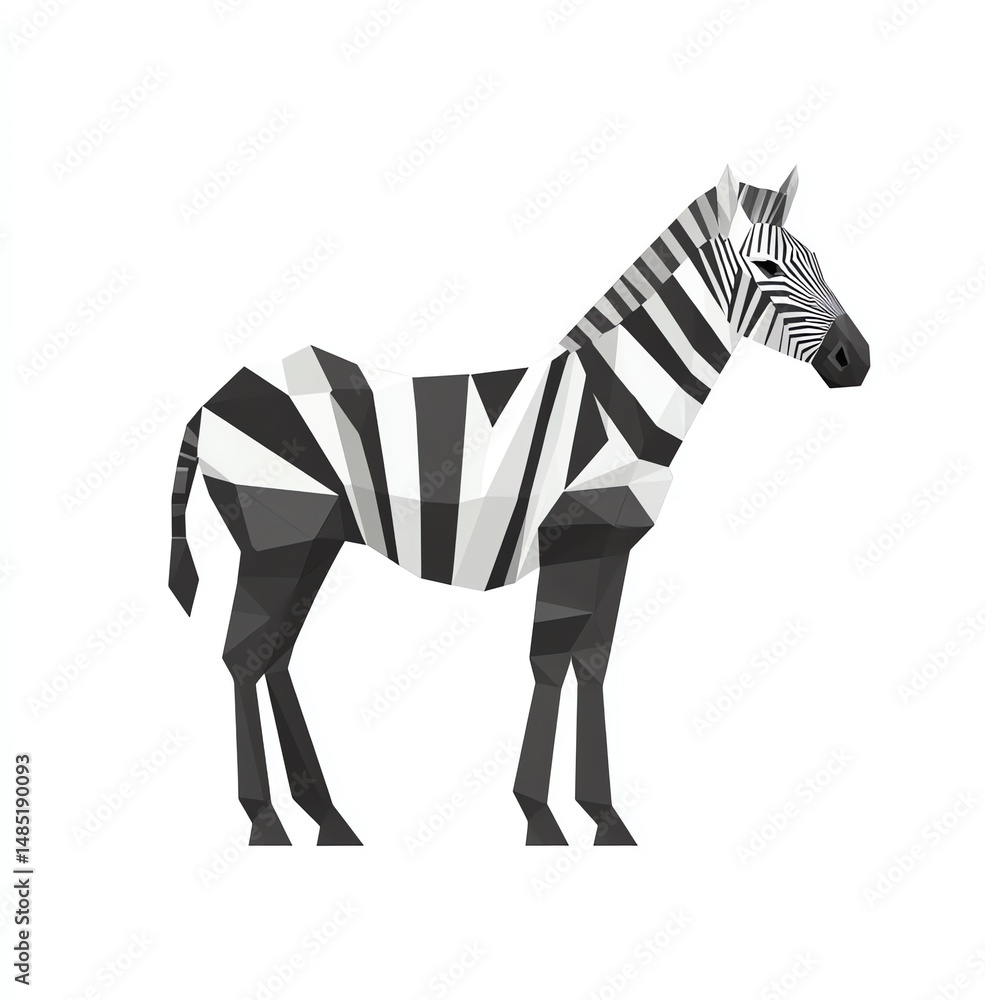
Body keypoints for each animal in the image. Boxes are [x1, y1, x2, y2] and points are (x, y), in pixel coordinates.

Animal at [169, 166, 869, 847]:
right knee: (245, 655)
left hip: (312, 542)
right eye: (769, 268)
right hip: (278, 538)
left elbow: (592, 664)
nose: (856, 361)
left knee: (275, 653)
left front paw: (605, 820)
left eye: (817, 261)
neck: (624, 402)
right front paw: (541, 819)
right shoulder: (570, 542)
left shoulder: (609, 549)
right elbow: (550, 662)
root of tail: (217, 394)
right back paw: (266, 822)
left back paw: (328, 821)